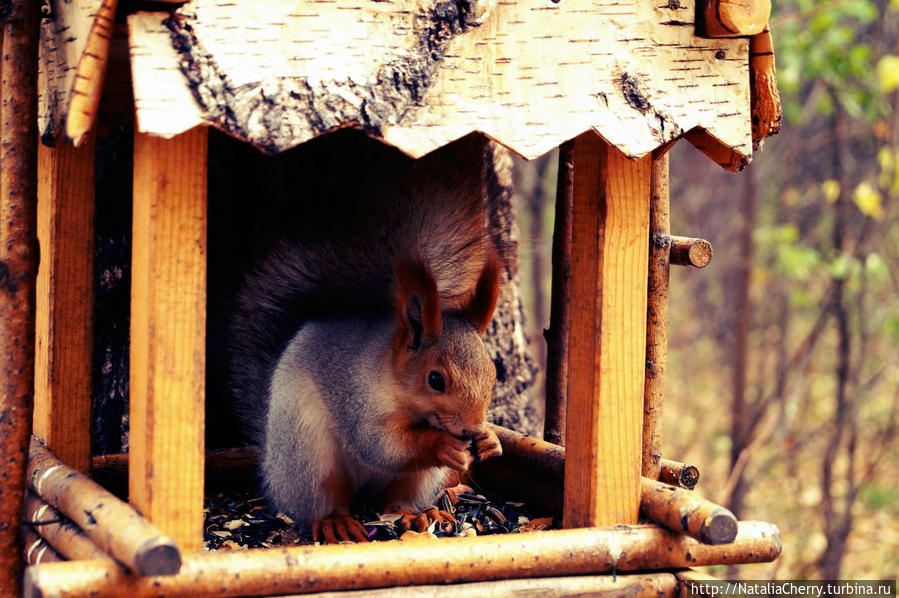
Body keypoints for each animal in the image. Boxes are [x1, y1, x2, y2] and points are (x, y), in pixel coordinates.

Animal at [227, 134, 506, 548]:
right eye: (435, 379)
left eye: (493, 374)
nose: (470, 431)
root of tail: (271, 467)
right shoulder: (357, 398)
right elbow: (380, 445)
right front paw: (442, 445)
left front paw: (491, 440)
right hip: (308, 457)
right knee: (322, 501)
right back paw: (336, 523)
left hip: (417, 478)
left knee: (398, 499)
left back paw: (420, 514)